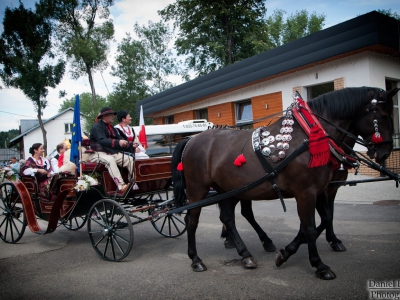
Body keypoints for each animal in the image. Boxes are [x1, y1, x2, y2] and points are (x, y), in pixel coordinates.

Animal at [171, 86, 396, 278]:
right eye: (384, 116)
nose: (385, 152)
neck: (310, 136)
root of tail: (191, 140)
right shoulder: (306, 192)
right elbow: (310, 228)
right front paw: (319, 265)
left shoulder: (320, 190)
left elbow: (323, 220)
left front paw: (286, 252)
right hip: (198, 189)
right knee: (192, 220)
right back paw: (196, 259)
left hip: (227, 190)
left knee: (228, 218)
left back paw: (246, 254)